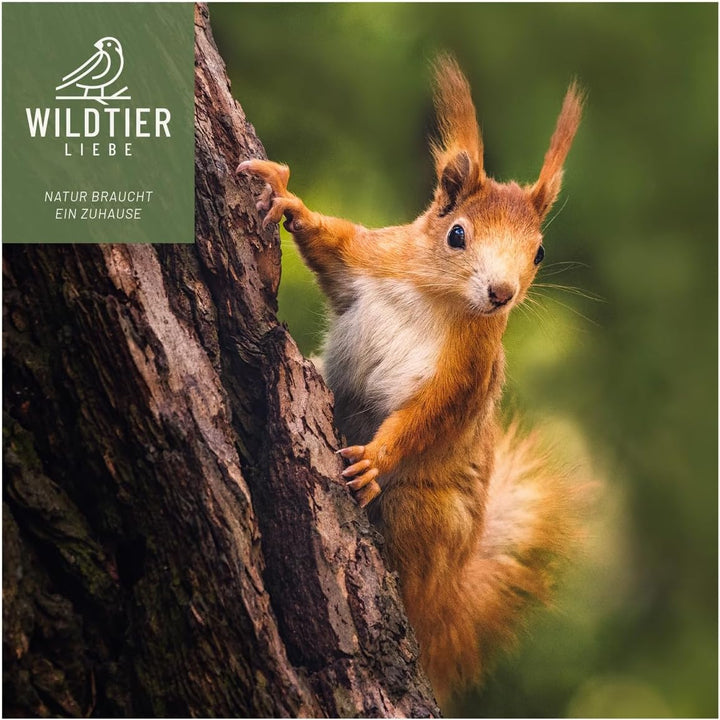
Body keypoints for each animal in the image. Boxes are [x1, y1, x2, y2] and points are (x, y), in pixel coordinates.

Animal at [238, 56, 585, 703]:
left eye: (540, 253)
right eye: (457, 233)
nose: (502, 293)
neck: (438, 297)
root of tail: (445, 598)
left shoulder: (466, 376)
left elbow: (427, 417)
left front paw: (375, 458)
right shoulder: (371, 257)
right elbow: (331, 242)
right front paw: (288, 198)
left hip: (426, 515)